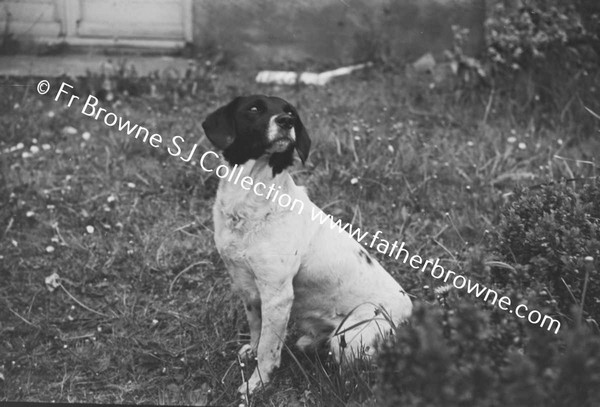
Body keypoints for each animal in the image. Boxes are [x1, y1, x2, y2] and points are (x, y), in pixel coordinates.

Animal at [202, 95, 412, 396]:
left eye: (290, 112)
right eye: (254, 108)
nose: (285, 121)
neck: (252, 196)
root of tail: (411, 315)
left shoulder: (277, 294)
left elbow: (268, 348)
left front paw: (257, 383)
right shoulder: (246, 285)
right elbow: (256, 329)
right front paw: (250, 351)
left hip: (351, 337)